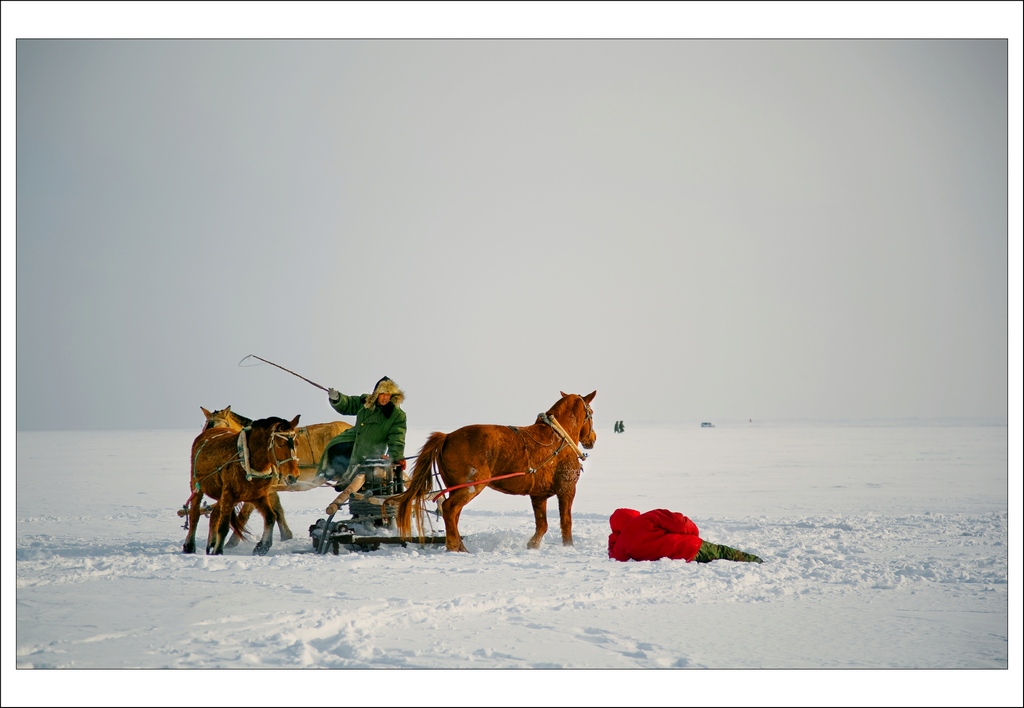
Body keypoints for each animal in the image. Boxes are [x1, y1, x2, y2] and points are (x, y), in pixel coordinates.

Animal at [184, 415, 299, 553]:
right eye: (280, 444)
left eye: (296, 444)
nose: (293, 476)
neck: (248, 461)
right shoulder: (229, 495)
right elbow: (223, 527)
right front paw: (218, 552)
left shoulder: (258, 496)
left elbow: (271, 517)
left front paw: (262, 546)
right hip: (197, 486)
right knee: (194, 515)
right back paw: (190, 546)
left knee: (214, 514)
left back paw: (211, 542)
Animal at [201, 403, 354, 549]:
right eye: (206, 427)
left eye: (221, 428)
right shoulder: (269, 489)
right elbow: (278, 509)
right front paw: (286, 536)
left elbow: (244, 514)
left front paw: (232, 543)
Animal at [393, 393, 598, 553]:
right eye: (591, 413)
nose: (593, 438)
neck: (559, 437)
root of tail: (447, 436)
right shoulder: (566, 489)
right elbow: (566, 522)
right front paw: (568, 547)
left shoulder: (538, 495)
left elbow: (542, 525)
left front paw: (532, 545)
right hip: (472, 486)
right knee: (449, 509)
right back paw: (454, 547)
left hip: (455, 486)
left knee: (453, 514)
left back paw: (459, 545)